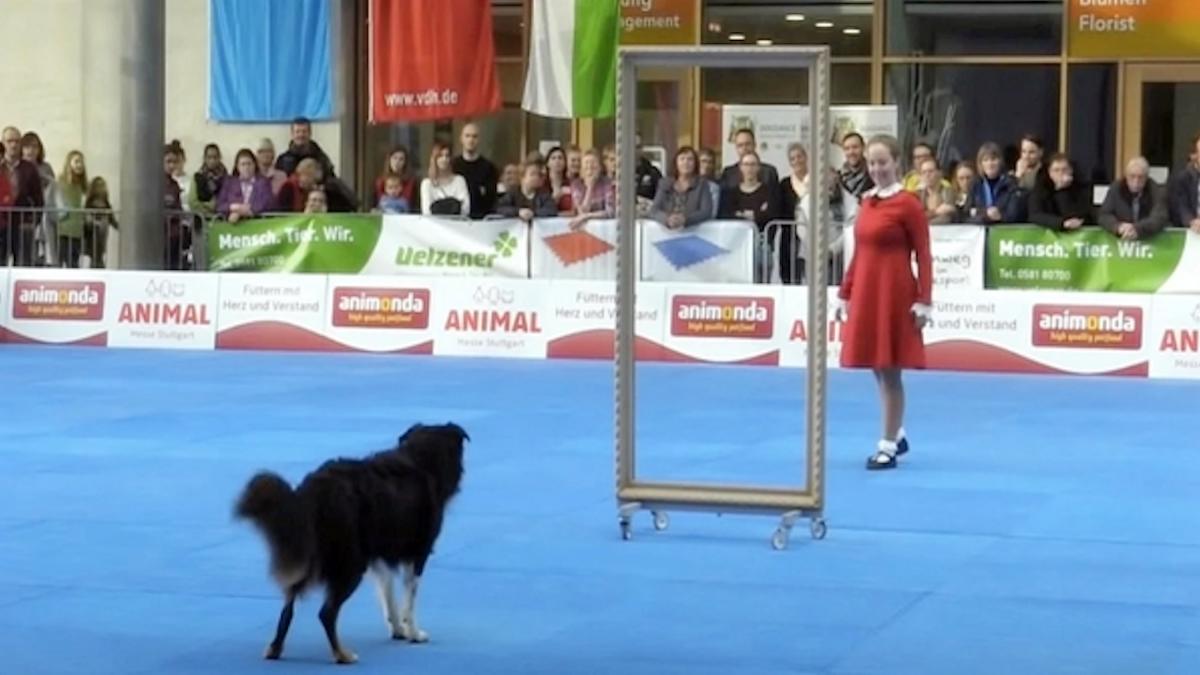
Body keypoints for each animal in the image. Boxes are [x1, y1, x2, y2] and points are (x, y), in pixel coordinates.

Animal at [234, 420, 468, 662]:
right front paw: (413, 633)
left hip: (310, 553)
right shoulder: (419, 551)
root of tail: (314, 490)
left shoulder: (379, 553)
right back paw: (342, 655)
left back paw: (275, 649)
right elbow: (409, 598)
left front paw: (397, 629)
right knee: (326, 613)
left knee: (288, 606)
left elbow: (388, 592)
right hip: (351, 563)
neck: (422, 459)